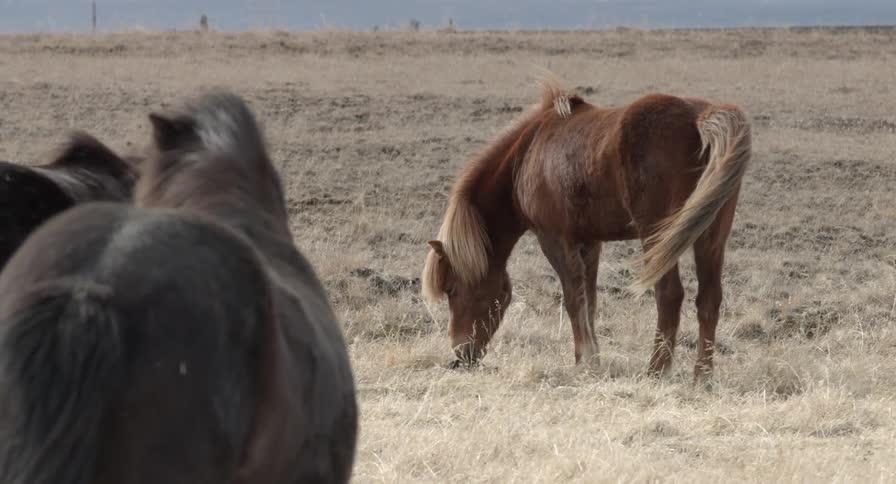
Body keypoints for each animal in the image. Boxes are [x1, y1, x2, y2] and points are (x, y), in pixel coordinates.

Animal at [422, 78, 751, 382]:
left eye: (451, 288)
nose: (461, 354)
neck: (526, 154)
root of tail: (700, 117)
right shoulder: (590, 243)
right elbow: (589, 301)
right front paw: (594, 359)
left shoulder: (554, 239)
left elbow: (573, 299)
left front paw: (585, 361)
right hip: (710, 237)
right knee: (709, 298)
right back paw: (702, 377)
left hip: (658, 237)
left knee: (669, 295)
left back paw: (656, 371)